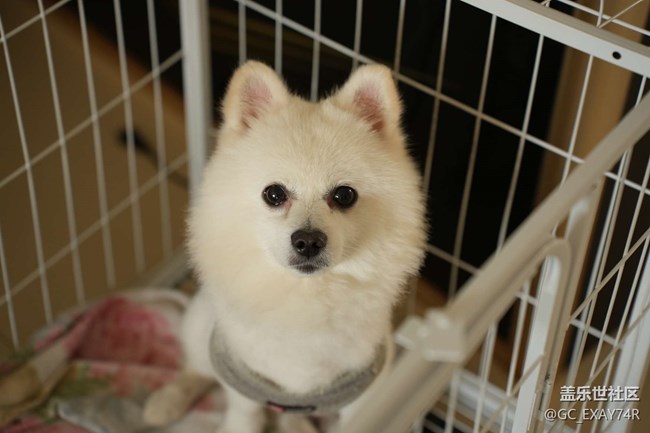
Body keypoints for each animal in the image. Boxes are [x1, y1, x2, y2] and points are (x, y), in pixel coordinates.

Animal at [144, 61, 427, 433]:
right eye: (274, 194)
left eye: (344, 195)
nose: (308, 240)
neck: (305, 297)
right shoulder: (241, 374)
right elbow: (245, 413)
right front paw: (237, 427)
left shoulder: (367, 388)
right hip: (199, 321)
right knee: (196, 367)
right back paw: (167, 401)